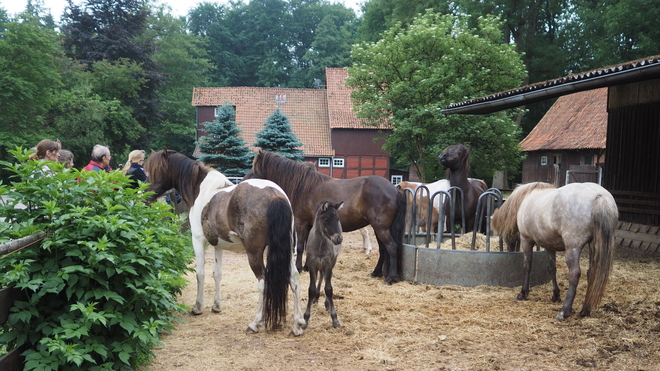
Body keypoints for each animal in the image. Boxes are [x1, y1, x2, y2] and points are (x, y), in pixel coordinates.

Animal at [144, 150, 304, 336]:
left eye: (153, 171)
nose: (143, 195)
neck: (200, 190)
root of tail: (275, 195)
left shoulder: (198, 240)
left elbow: (200, 274)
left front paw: (198, 307)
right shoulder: (218, 244)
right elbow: (217, 274)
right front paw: (216, 306)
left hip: (254, 253)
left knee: (263, 282)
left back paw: (255, 323)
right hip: (287, 251)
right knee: (294, 279)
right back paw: (297, 324)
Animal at [245, 151, 404, 284]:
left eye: (255, 169)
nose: (244, 181)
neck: (303, 187)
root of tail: (394, 189)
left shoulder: (301, 223)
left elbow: (301, 246)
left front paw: (299, 268)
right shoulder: (310, 225)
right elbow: (309, 245)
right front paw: (308, 266)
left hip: (381, 228)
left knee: (391, 247)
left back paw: (390, 278)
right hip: (378, 228)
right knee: (383, 249)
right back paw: (376, 272)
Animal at [304, 202, 346, 330]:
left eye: (338, 218)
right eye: (326, 219)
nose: (338, 239)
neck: (320, 245)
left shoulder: (328, 264)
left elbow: (329, 289)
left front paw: (335, 319)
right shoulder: (312, 264)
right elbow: (311, 289)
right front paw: (305, 319)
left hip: (332, 262)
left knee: (326, 279)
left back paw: (327, 304)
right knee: (321, 276)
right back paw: (317, 298)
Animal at [490, 182, 620, 322]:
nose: (510, 249)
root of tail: (599, 195)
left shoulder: (526, 240)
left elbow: (527, 266)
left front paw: (523, 293)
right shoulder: (549, 245)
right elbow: (551, 268)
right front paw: (556, 295)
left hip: (573, 248)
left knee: (574, 274)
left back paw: (564, 312)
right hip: (593, 246)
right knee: (591, 273)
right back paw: (585, 310)